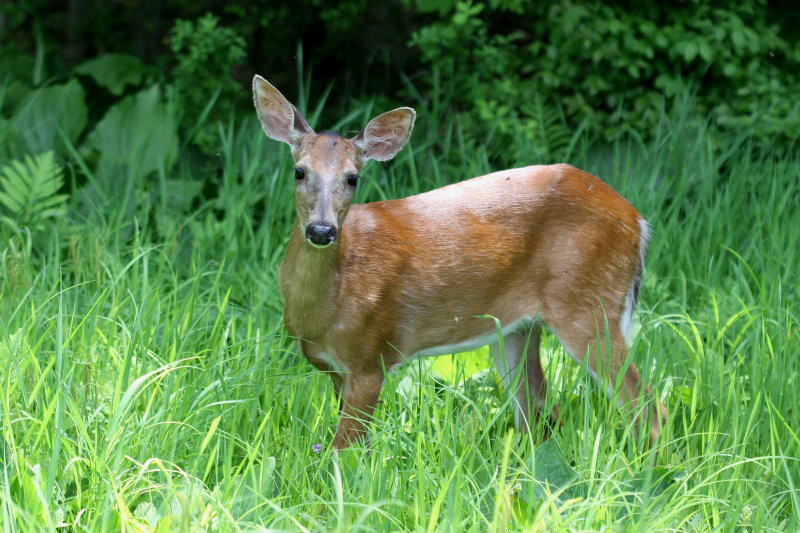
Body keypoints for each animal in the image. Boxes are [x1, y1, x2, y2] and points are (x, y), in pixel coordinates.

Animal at [253, 75, 664, 448]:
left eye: (353, 177)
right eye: (299, 171)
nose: (322, 230)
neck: (327, 303)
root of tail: (637, 221)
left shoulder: (371, 358)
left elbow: (344, 452)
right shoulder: (337, 371)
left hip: (589, 304)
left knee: (647, 408)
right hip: (516, 327)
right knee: (539, 411)